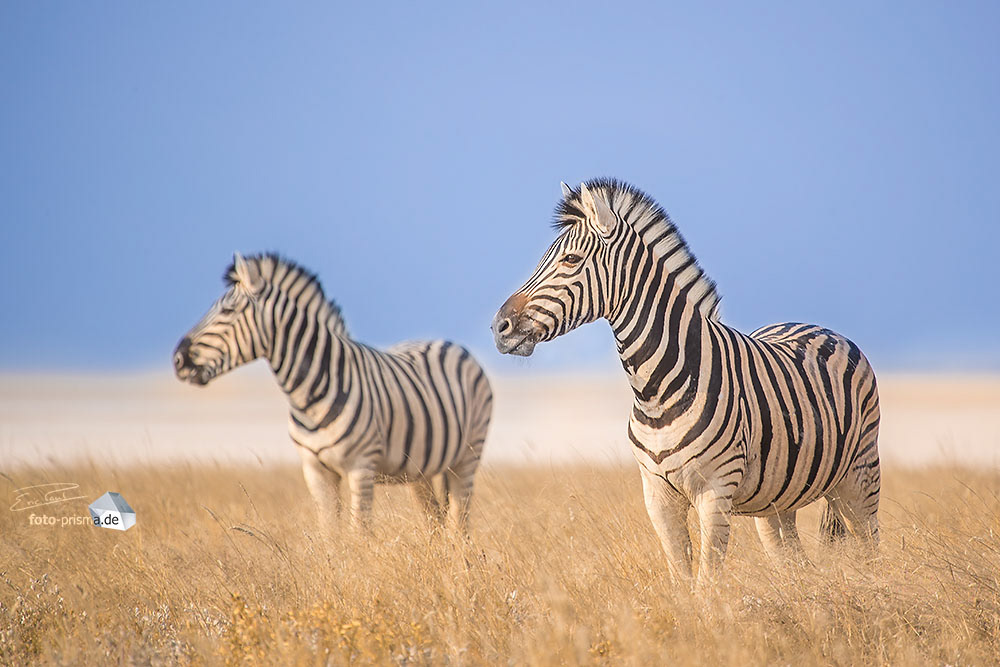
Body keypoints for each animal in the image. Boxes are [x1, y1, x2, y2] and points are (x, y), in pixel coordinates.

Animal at [174, 252, 493, 532]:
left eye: (227, 311)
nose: (178, 360)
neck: (308, 396)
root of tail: (448, 342)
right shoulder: (315, 471)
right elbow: (329, 532)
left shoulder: (361, 468)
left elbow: (358, 531)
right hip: (421, 470)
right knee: (435, 521)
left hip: (467, 456)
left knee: (458, 521)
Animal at [492, 179, 880, 584]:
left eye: (570, 260)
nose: (499, 327)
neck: (656, 390)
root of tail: (819, 327)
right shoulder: (657, 495)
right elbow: (681, 579)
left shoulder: (715, 492)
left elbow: (707, 583)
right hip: (778, 500)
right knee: (795, 566)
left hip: (859, 478)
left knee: (869, 552)